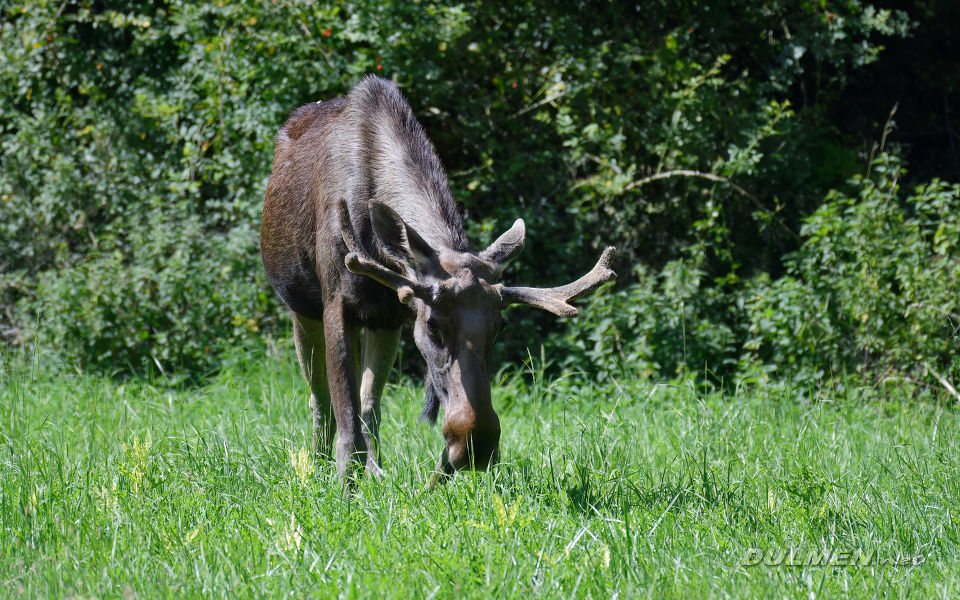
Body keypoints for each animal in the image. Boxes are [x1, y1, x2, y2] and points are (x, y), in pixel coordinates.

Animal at [258, 76, 616, 488]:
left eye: (499, 328)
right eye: (432, 326)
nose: (476, 443)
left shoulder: (391, 314)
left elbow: (367, 404)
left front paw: (370, 476)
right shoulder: (337, 301)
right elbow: (343, 406)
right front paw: (344, 486)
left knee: (369, 402)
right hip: (301, 306)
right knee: (319, 397)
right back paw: (315, 466)